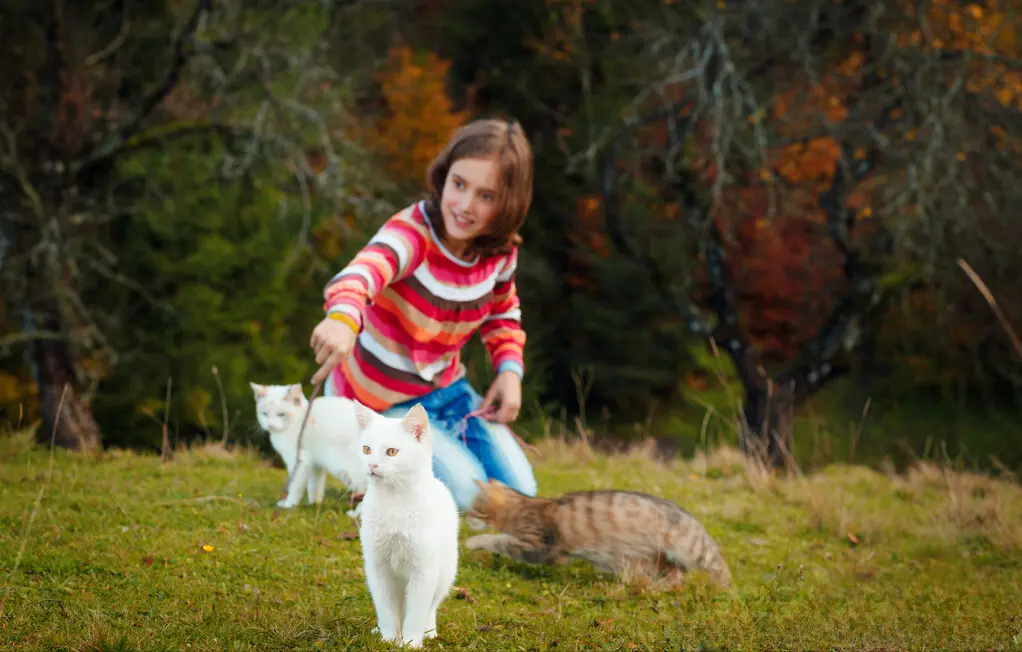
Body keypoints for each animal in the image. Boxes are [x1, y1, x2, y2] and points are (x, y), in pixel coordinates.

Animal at [250, 384, 369, 515]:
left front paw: (289, 505)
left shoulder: (299, 461)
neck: (299, 419)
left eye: (281, 414)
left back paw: (356, 514)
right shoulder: (315, 464)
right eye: (264, 414)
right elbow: (315, 486)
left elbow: (295, 486)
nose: (270, 425)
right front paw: (314, 504)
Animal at [355, 404, 459, 649]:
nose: (371, 464)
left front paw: (411, 642)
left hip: (445, 573)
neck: (394, 500)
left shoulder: (424, 571)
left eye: (392, 452)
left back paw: (429, 631)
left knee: (431, 606)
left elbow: (417, 612)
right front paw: (389, 638)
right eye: (366, 449)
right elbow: (386, 608)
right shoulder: (378, 567)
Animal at [463, 478, 735, 588]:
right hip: (654, 559)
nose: (463, 515)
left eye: (473, 508)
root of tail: (691, 516)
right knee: (675, 574)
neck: (521, 505)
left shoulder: (540, 548)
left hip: (692, 550)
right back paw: (655, 587)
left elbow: (498, 539)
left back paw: (725, 592)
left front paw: (472, 542)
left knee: (719, 567)